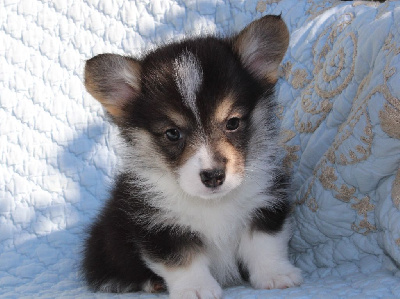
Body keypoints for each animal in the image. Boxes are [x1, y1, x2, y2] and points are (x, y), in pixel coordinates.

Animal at [83, 14, 304, 299]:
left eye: (233, 123)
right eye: (172, 133)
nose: (213, 176)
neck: (213, 203)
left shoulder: (265, 202)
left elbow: (265, 244)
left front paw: (275, 275)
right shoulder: (161, 225)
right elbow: (183, 261)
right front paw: (196, 289)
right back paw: (152, 283)